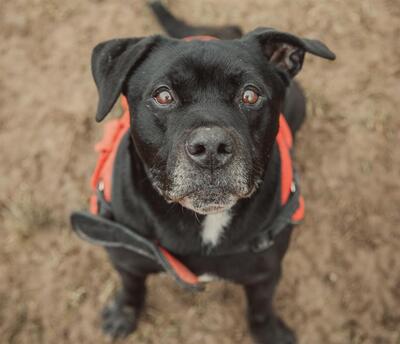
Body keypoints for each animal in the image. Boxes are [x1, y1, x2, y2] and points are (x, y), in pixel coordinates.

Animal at [72, 2, 334, 342]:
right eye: (163, 95)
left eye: (250, 95)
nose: (211, 147)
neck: (203, 222)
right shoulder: (126, 256)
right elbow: (131, 287)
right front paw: (124, 314)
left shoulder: (265, 273)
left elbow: (261, 307)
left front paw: (269, 332)